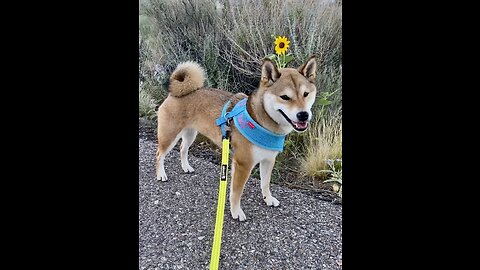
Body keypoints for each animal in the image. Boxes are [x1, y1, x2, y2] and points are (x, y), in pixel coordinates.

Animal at [156, 57, 316, 221]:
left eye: (306, 94)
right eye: (285, 97)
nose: (303, 115)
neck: (261, 122)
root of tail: (177, 92)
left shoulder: (269, 159)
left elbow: (265, 183)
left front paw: (268, 199)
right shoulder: (243, 164)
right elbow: (236, 192)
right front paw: (236, 212)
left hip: (190, 133)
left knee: (183, 149)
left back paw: (186, 167)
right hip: (169, 135)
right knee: (159, 155)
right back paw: (161, 174)